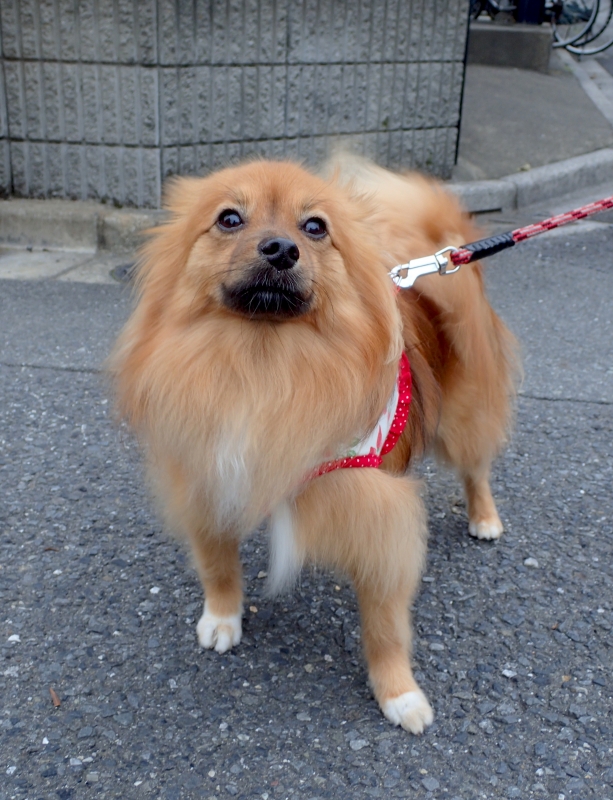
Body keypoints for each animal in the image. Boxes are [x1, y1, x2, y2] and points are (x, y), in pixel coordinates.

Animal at [110, 156, 518, 734]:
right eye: (229, 219)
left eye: (315, 227)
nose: (281, 248)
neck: (263, 364)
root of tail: (437, 263)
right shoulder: (208, 475)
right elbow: (217, 563)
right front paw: (222, 617)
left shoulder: (380, 517)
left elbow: (385, 625)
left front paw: (399, 694)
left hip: (463, 421)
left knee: (476, 467)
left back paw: (484, 518)